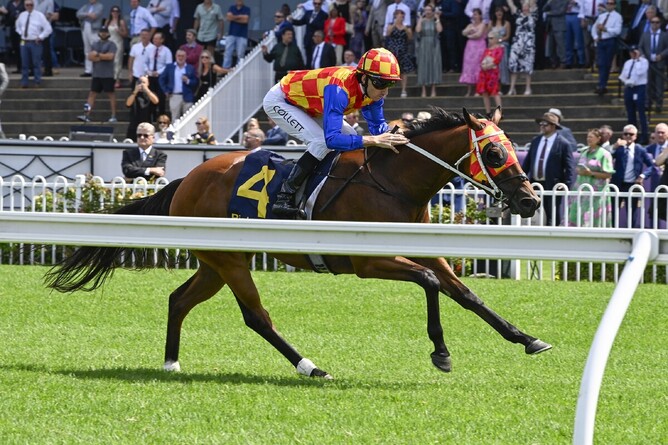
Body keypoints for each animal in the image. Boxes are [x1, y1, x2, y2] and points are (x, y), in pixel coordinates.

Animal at [45, 108, 551, 379]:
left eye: (513, 146)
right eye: (494, 151)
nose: (529, 199)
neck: (395, 181)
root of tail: (187, 178)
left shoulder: (423, 247)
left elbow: (465, 293)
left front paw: (527, 338)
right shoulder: (368, 260)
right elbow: (428, 282)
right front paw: (441, 354)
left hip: (216, 261)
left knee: (179, 299)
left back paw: (171, 363)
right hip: (231, 262)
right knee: (257, 317)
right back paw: (310, 367)